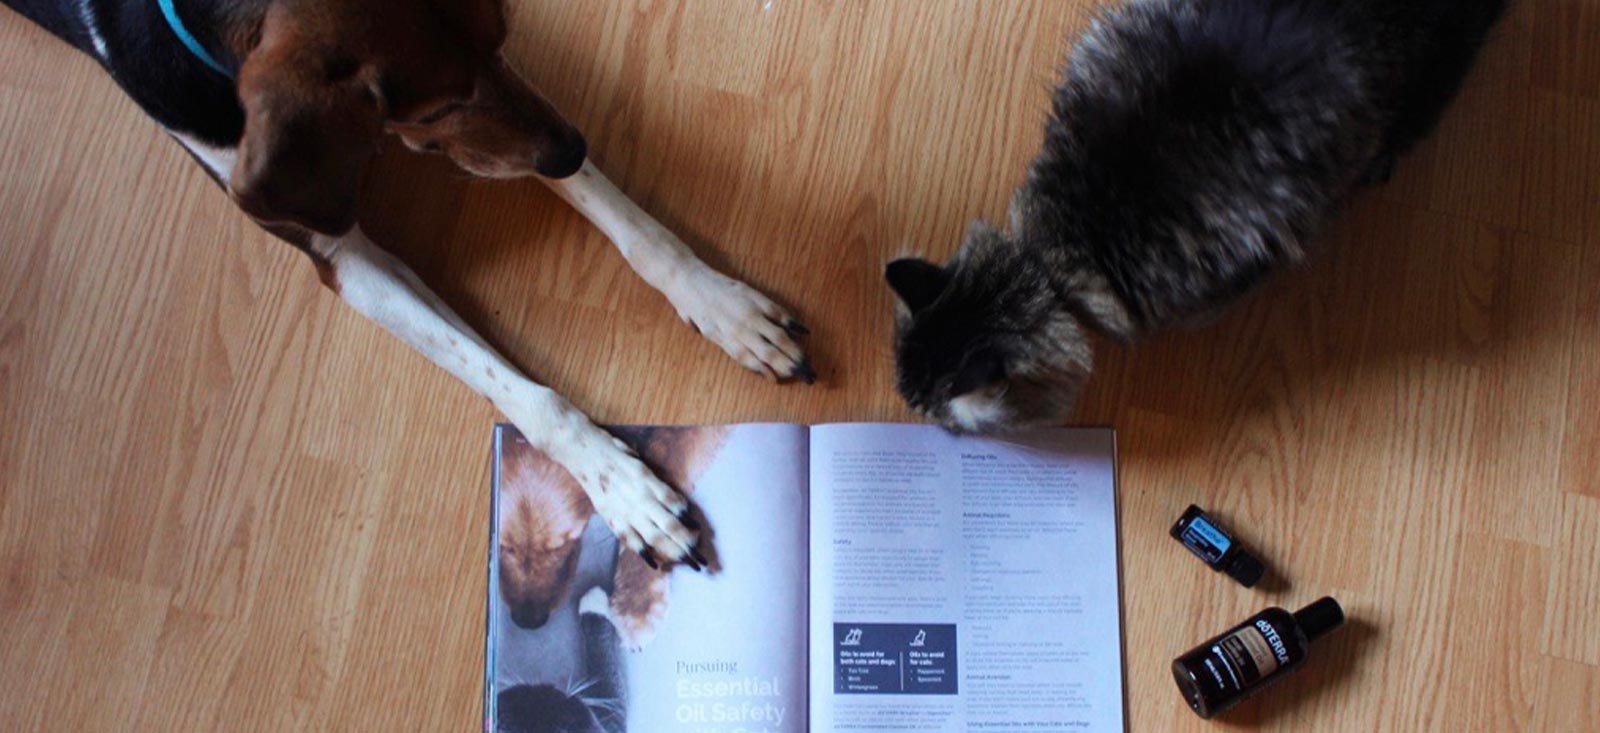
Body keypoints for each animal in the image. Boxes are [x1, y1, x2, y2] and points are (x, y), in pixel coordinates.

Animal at [3, 0, 812, 566]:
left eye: (502, 34)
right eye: (439, 104)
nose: (573, 148)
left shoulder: (521, 117)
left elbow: (628, 221)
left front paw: (718, 303)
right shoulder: (343, 255)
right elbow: (526, 394)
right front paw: (620, 483)